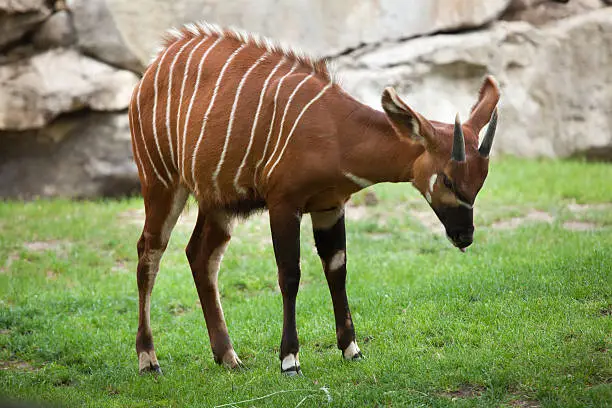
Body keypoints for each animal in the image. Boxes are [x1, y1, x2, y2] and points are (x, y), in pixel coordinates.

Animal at [128, 21, 498, 372]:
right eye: (447, 179)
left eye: (480, 181)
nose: (464, 235)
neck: (336, 132)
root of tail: (155, 65)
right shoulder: (283, 204)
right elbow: (290, 274)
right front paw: (289, 360)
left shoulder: (330, 206)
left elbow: (337, 269)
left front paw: (352, 350)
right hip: (161, 182)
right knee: (150, 251)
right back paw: (149, 359)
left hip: (218, 201)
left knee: (200, 255)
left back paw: (229, 357)